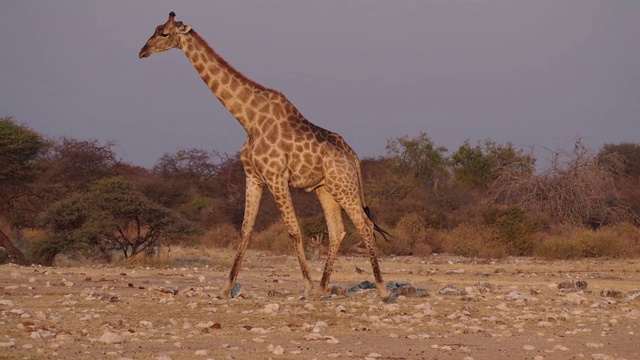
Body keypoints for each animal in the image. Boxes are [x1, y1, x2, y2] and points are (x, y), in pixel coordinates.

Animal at [139, 11, 390, 300]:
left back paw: (382, 289)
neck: (249, 120)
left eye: (164, 33)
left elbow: (293, 229)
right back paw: (322, 289)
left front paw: (305, 285)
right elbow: (246, 230)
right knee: (337, 231)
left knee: (365, 225)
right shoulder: (253, 176)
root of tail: (353, 156)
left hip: (343, 185)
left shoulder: (276, 176)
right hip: (325, 188)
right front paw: (226, 288)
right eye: (155, 29)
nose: (142, 51)